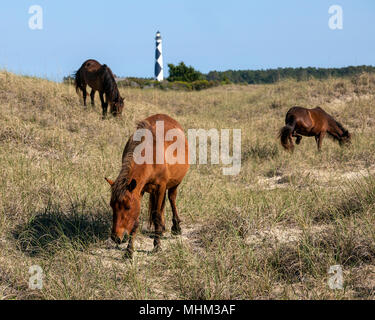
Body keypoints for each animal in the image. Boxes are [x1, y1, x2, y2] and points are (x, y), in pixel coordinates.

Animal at [105, 114, 189, 258]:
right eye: (112, 206)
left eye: (127, 207)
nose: (116, 237)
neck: (150, 153)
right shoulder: (139, 190)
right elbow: (137, 221)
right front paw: (129, 250)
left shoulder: (160, 187)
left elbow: (156, 215)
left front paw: (157, 245)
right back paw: (162, 229)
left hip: (174, 184)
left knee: (172, 199)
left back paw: (176, 227)